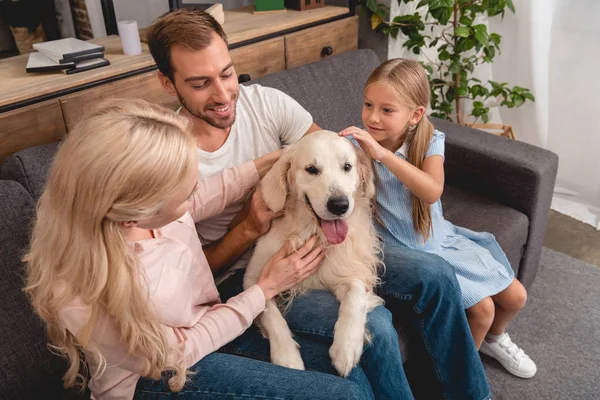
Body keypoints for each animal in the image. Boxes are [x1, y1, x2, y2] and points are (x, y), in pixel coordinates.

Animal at [244, 130, 384, 376]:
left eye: (347, 166)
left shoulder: (343, 273)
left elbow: (355, 295)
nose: (339, 205)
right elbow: (270, 312)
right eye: (311, 169)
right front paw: (286, 355)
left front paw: (346, 347)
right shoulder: (252, 278)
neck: (312, 231)